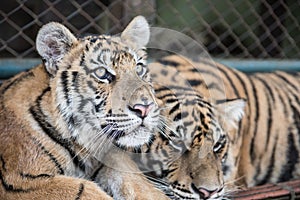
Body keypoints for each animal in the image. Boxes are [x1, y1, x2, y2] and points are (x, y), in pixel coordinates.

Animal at [0, 16, 169, 200]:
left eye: (139, 68)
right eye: (102, 73)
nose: (144, 108)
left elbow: (136, 181)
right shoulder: (19, 181)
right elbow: (83, 189)